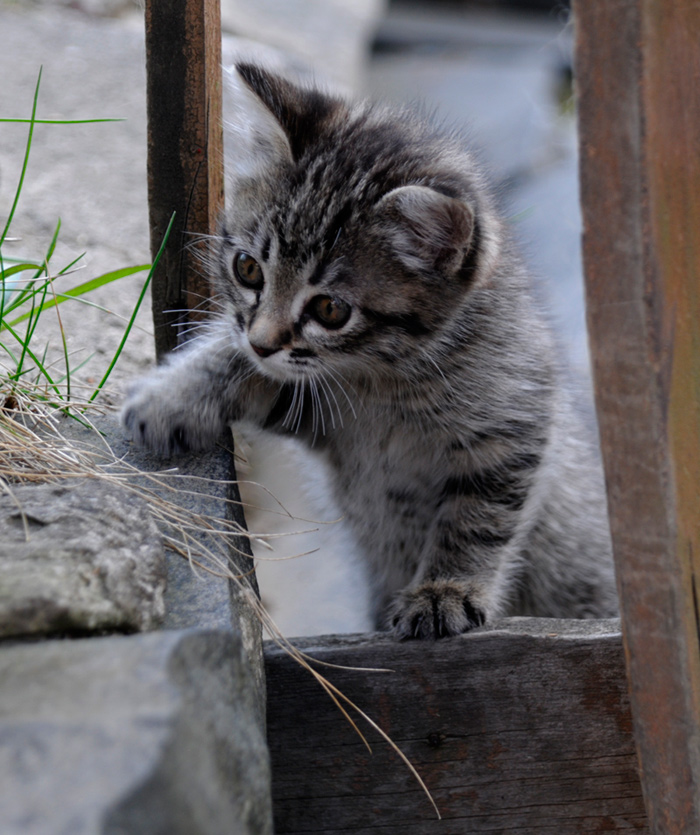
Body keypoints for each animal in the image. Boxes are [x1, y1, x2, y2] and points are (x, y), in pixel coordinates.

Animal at [121, 63, 616, 640]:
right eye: (248, 269)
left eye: (330, 309)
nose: (261, 341)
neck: (386, 376)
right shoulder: (324, 416)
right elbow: (244, 367)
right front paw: (169, 399)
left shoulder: (513, 427)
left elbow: (477, 519)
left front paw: (444, 590)